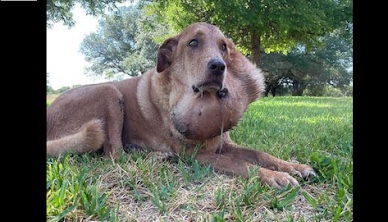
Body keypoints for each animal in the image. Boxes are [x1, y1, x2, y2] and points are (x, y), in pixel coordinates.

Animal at [47, 22, 316, 189]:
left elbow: (259, 154)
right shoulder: (194, 153)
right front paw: (274, 176)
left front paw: (293, 166)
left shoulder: (223, 144)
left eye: (224, 46)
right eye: (193, 43)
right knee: (114, 154)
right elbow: (240, 163)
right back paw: (152, 156)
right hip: (109, 92)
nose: (219, 66)